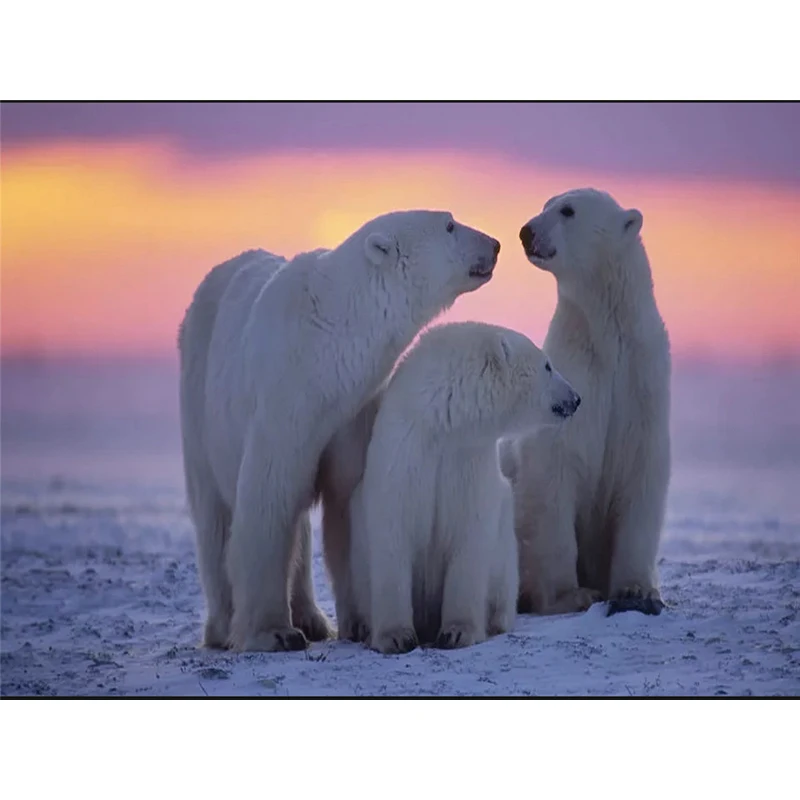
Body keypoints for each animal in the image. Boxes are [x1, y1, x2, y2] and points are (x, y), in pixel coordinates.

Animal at [177, 210, 500, 652]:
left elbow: (348, 501)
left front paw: (362, 623)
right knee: (214, 516)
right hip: (200, 402)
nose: (495, 244)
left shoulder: (353, 409)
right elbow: (267, 500)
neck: (328, 346)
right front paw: (274, 632)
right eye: (450, 225)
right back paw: (225, 627)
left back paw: (312, 618)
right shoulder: (285, 400)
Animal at [344, 321, 582, 655]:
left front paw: (458, 632)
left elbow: (469, 537)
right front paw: (395, 637)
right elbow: (393, 532)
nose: (576, 398)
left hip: (505, 552)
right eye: (547, 365)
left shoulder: (470, 461)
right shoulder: (404, 454)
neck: (444, 424)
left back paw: (496, 620)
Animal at [506, 187, 671, 617]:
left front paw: (637, 591)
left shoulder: (641, 385)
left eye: (567, 210)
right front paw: (572, 594)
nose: (526, 231)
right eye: (545, 204)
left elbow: (641, 478)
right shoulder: (575, 381)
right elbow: (553, 477)